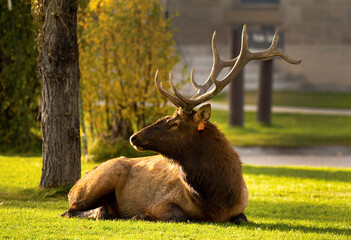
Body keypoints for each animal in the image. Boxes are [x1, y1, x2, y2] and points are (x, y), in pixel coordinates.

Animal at [62, 25, 302, 222]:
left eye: (173, 123)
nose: (133, 136)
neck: (216, 200)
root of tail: (73, 186)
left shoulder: (241, 208)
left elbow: (241, 219)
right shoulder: (162, 201)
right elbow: (179, 215)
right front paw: (140, 214)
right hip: (96, 182)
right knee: (71, 211)